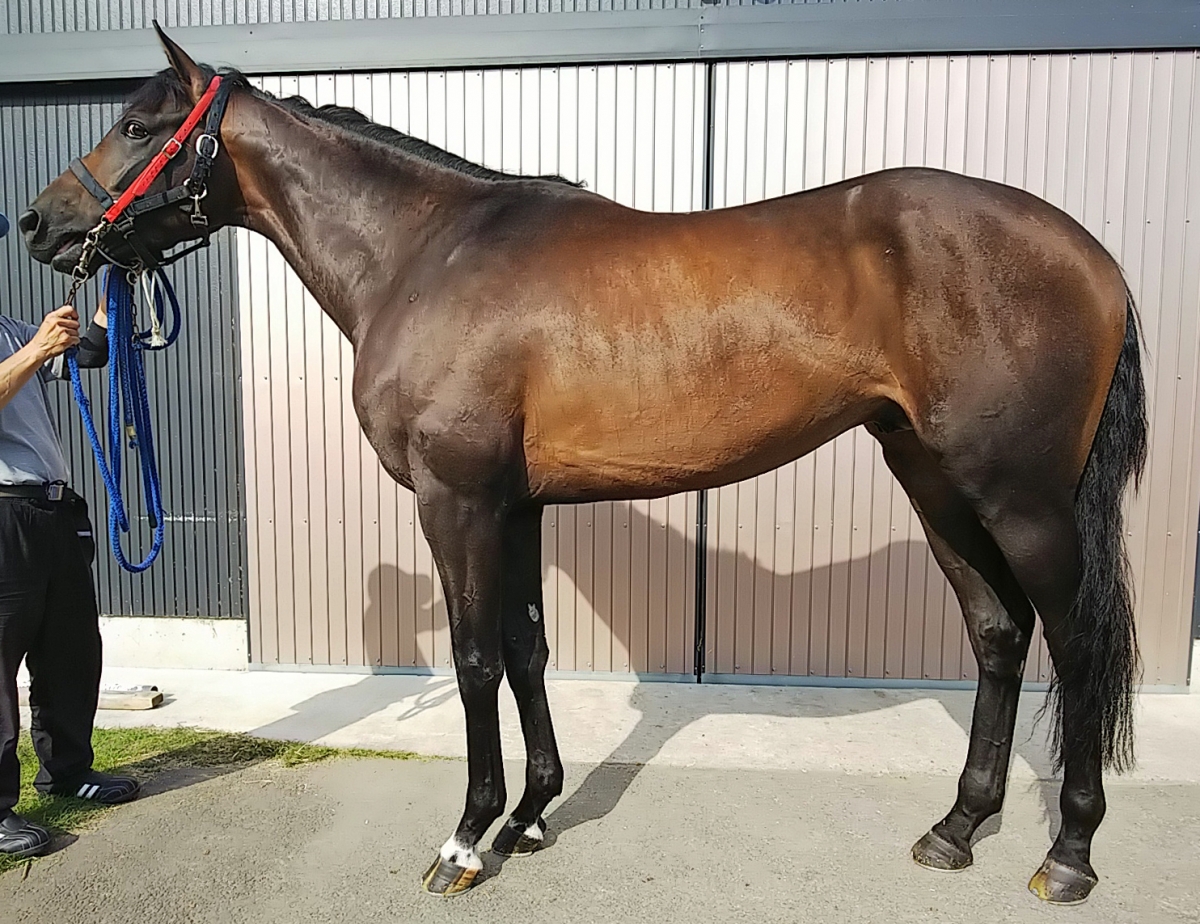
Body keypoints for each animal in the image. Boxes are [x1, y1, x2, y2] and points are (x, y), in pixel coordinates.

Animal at [20, 26, 1146, 904]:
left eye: (138, 124)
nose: (40, 223)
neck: (425, 254)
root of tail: (1091, 253)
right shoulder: (516, 506)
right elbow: (527, 649)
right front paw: (530, 815)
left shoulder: (457, 501)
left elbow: (475, 659)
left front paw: (466, 839)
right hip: (934, 479)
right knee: (999, 634)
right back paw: (956, 829)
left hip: (1020, 496)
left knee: (1075, 644)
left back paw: (1070, 854)